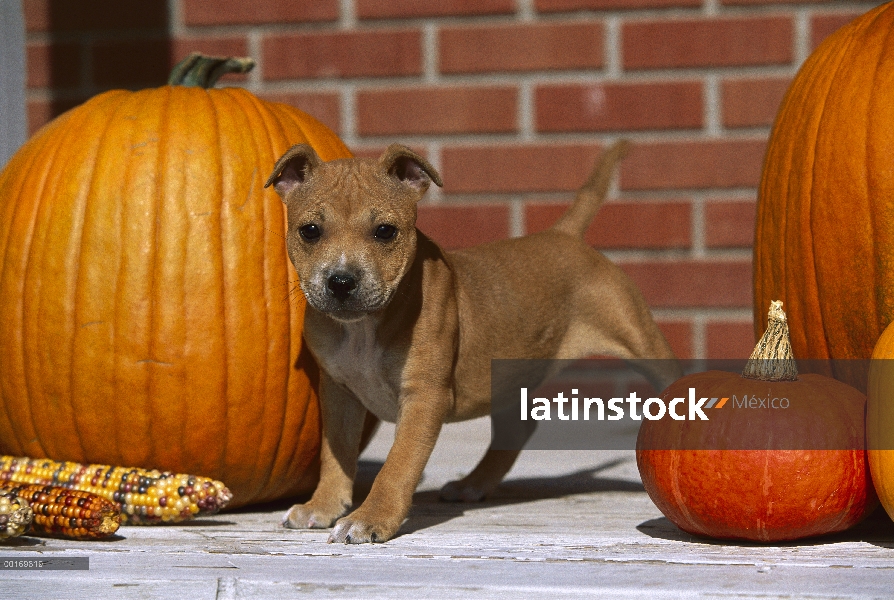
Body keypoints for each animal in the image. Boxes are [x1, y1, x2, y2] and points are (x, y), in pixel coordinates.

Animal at [264, 141, 680, 544]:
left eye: (385, 231)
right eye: (310, 231)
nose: (341, 281)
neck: (364, 327)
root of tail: (564, 235)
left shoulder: (424, 397)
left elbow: (397, 465)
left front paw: (369, 519)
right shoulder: (338, 392)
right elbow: (335, 455)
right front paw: (322, 506)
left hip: (640, 339)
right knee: (517, 427)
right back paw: (473, 484)